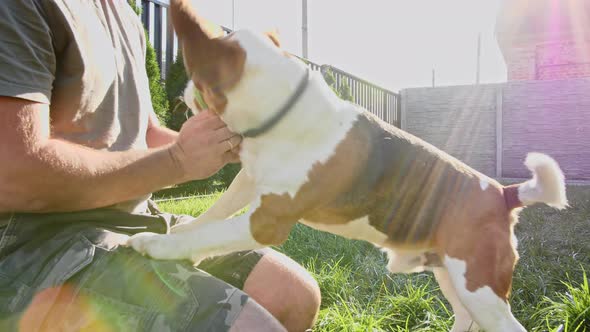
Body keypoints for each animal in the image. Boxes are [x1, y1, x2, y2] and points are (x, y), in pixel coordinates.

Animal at [130, 1, 568, 330]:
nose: (184, 94)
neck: (284, 105)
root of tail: (502, 194)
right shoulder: (249, 180)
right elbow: (213, 217)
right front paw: (182, 236)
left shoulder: (265, 221)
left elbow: (211, 233)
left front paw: (157, 244)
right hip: (454, 278)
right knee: (466, 320)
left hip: (480, 287)